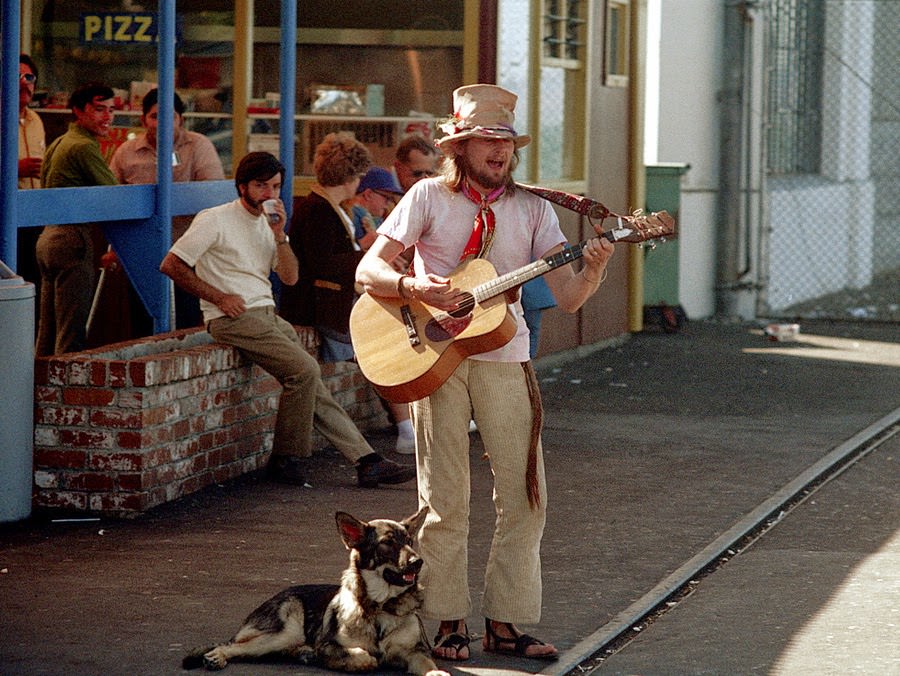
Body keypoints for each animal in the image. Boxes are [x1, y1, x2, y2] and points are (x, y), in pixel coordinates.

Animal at [183, 508, 446, 676]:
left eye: (409, 541)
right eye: (387, 543)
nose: (418, 562)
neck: (381, 607)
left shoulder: (415, 651)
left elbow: (427, 663)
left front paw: (437, 673)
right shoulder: (328, 645)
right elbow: (361, 655)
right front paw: (364, 660)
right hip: (285, 633)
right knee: (234, 647)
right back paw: (217, 656)